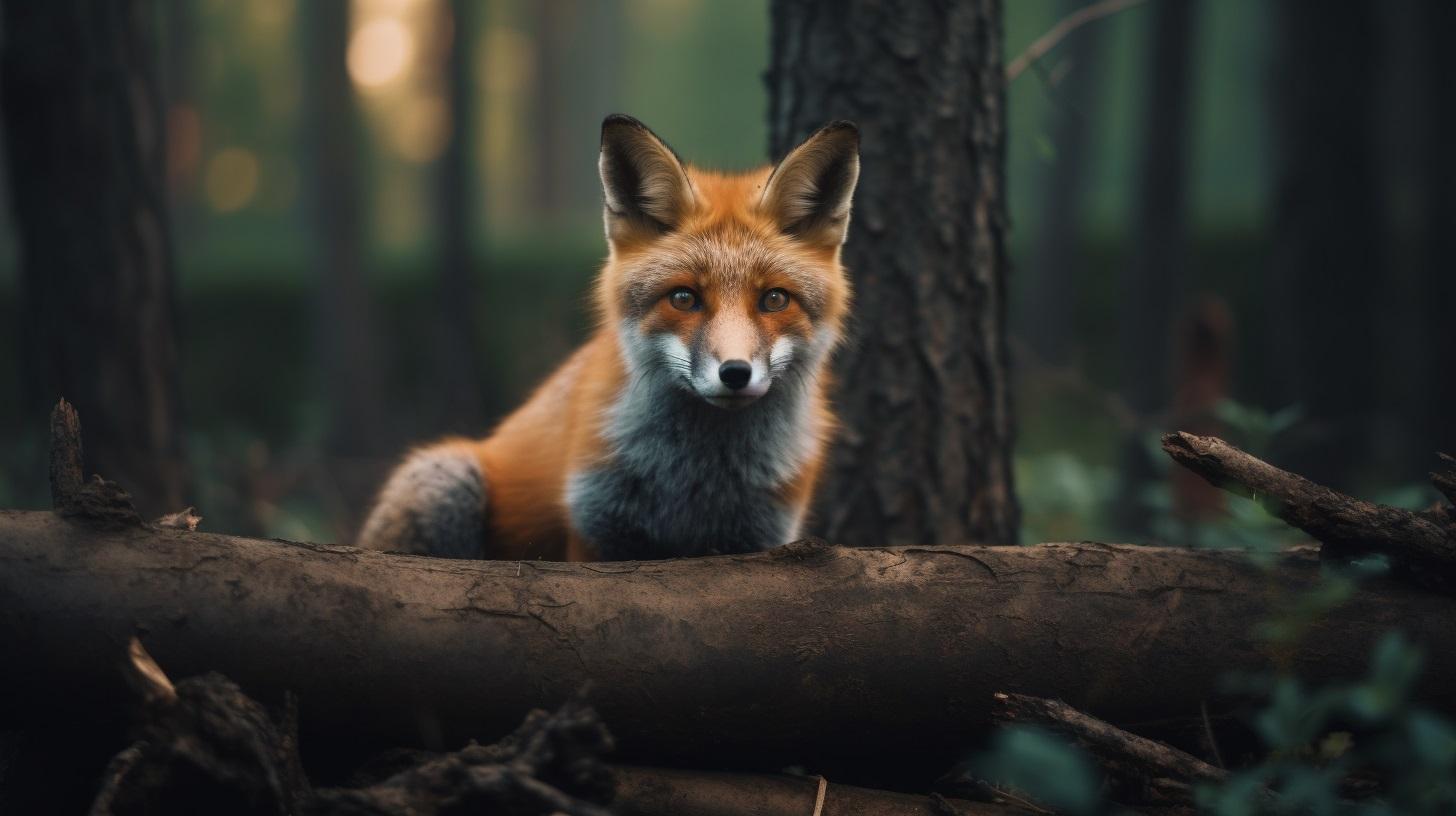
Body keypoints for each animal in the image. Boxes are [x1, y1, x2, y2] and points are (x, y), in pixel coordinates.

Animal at [357, 114, 860, 561]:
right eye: (684, 298)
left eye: (774, 300)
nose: (735, 373)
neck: (697, 480)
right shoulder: (598, 526)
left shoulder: (759, 538)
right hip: (447, 478)